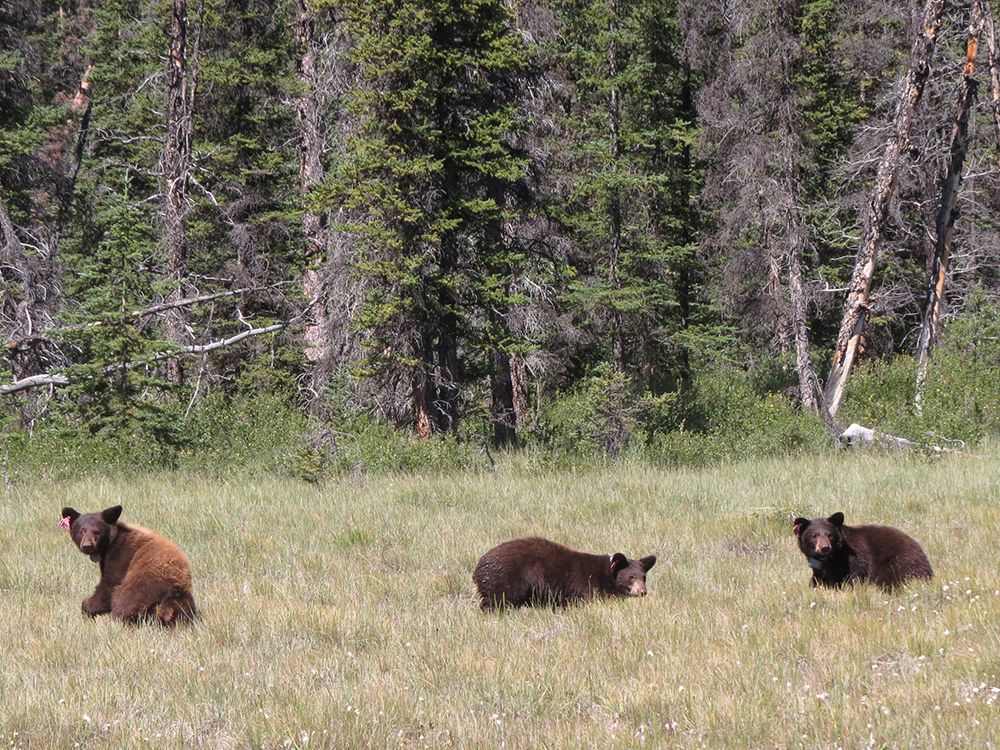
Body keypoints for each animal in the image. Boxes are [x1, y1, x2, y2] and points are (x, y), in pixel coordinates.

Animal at [62, 506, 197, 628]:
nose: (87, 546)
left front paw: (87, 608)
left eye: (97, 532)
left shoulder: (120, 556)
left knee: (125, 601)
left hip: (143, 584)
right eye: (81, 530)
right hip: (183, 602)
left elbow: (109, 586)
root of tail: (175, 588)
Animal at [474, 536, 660, 612]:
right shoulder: (584, 586)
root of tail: (478, 568)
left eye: (644, 577)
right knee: (497, 600)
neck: (605, 575)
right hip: (506, 580)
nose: (643, 591)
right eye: (631, 577)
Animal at [792, 516, 932, 592]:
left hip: (900, 563)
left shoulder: (853, 559)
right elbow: (816, 580)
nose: (825, 547)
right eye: (814, 535)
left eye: (829, 535)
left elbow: (853, 577)